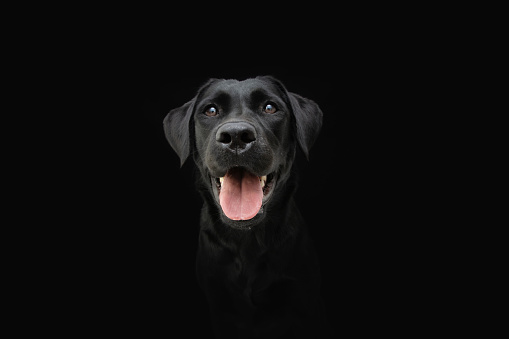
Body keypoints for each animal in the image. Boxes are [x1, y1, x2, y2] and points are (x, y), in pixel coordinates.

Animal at [164, 77, 330, 339]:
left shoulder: (304, 302)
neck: (247, 240)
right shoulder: (220, 306)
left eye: (270, 107)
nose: (236, 136)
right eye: (211, 110)